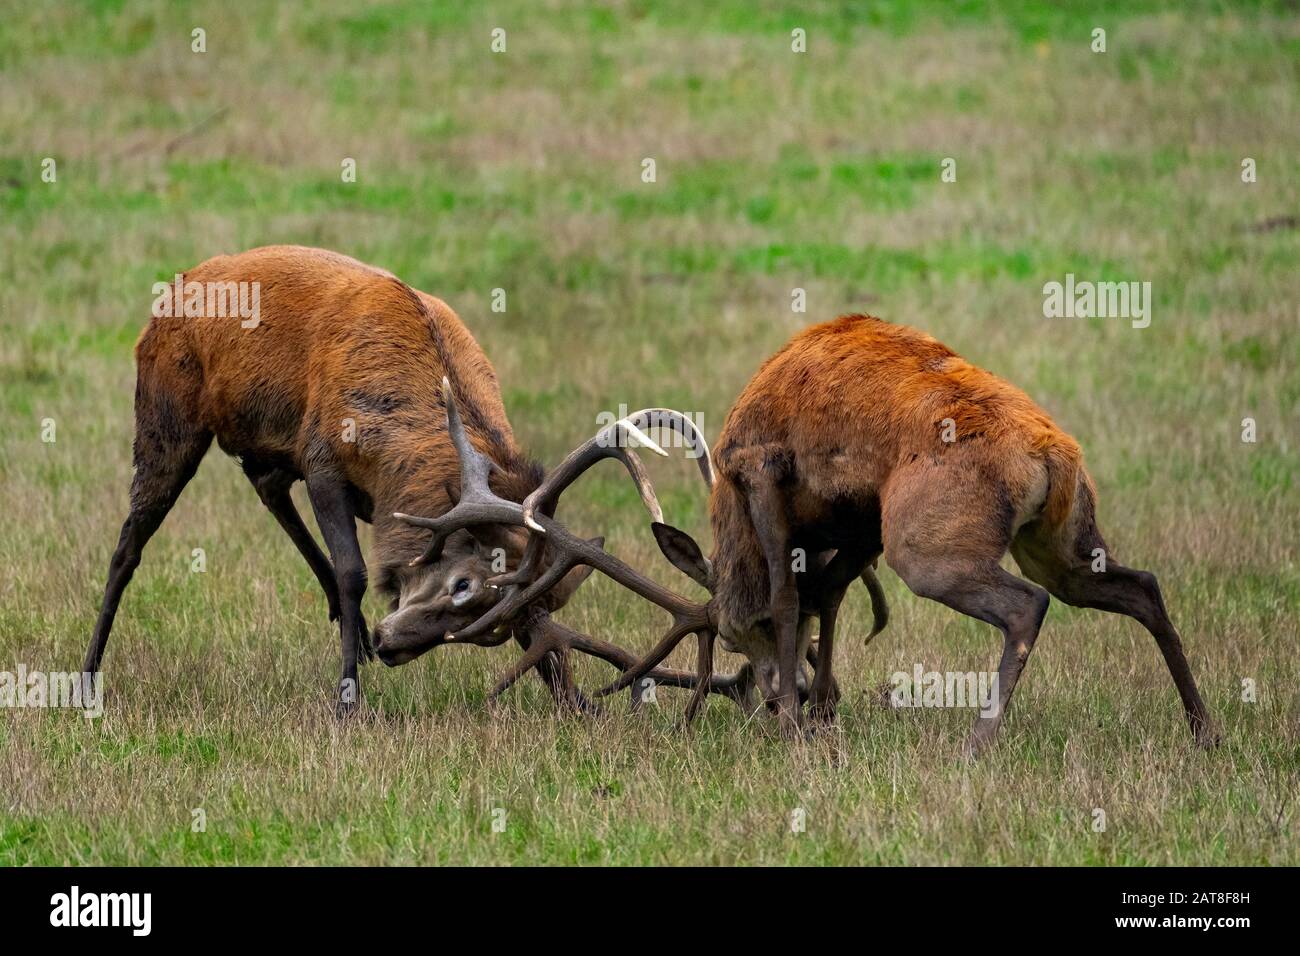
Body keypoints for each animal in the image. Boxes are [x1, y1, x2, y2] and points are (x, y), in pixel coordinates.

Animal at [83, 243, 681, 712]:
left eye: (496, 627)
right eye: (463, 585)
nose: (391, 643)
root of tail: (172, 291)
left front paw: (572, 698)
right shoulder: (323, 459)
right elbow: (355, 572)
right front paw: (346, 698)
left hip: (261, 440)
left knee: (266, 483)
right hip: (165, 417)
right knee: (129, 543)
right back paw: (88, 674)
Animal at [590, 316, 1216, 754]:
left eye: (731, 634)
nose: (768, 699)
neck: (730, 505)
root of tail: (1053, 454)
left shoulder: (763, 467)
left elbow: (790, 596)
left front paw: (794, 724)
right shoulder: (864, 513)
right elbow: (828, 593)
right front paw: (821, 713)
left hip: (926, 544)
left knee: (1028, 604)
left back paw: (976, 743)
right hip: (1057, 541)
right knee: (1141, 584)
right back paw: (1204, 729)